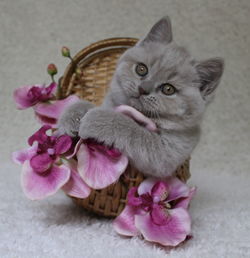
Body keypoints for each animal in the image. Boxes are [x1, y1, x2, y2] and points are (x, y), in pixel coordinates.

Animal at [58, 15, 225, 177]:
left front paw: (97, 119)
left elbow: (134, 130)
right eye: (141, 69)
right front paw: (72, 116)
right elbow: (86, 105)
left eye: (168, 89)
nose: (143, 88)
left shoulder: (168, 153)